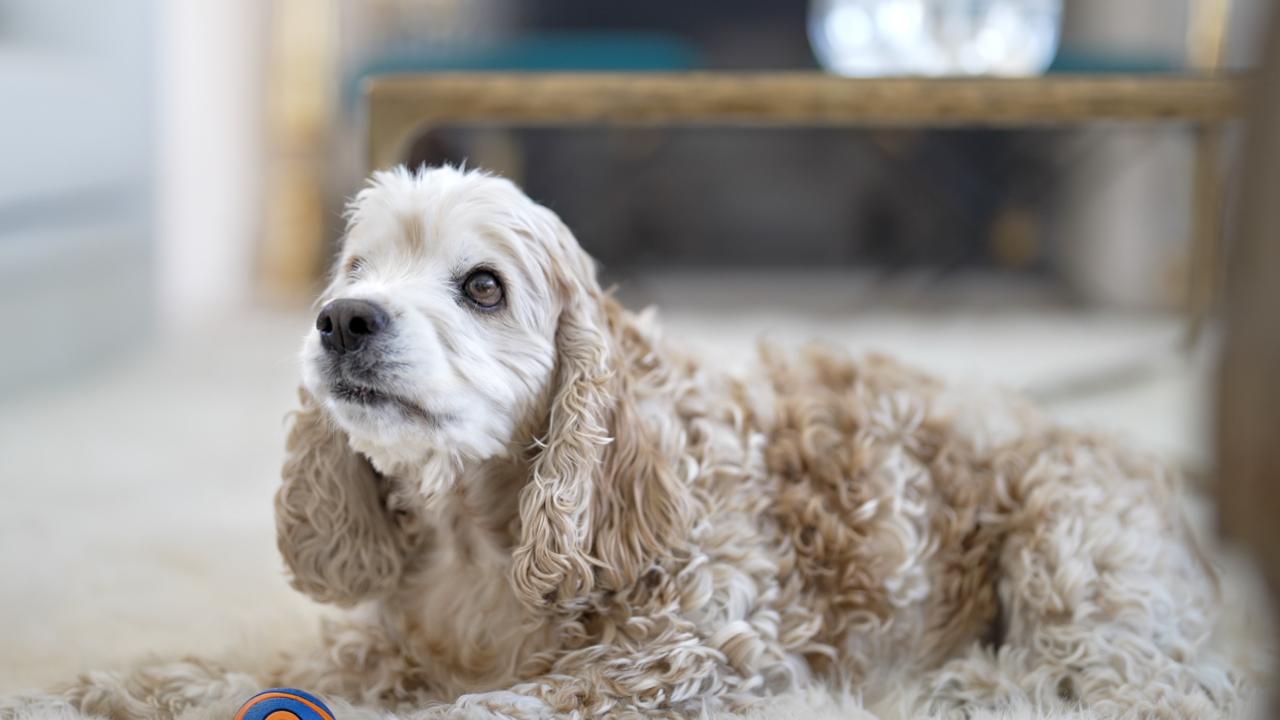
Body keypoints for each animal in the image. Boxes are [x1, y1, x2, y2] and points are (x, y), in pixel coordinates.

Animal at [10, 165, 1244, 712]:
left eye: (482, 286)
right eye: (356, 272)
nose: (342, 320)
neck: (484, 533)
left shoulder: (690, 655)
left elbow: (492, 708)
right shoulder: (403, 642)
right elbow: (269, 672)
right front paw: (124, 687)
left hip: (1072, 556)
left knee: (1128, 685)